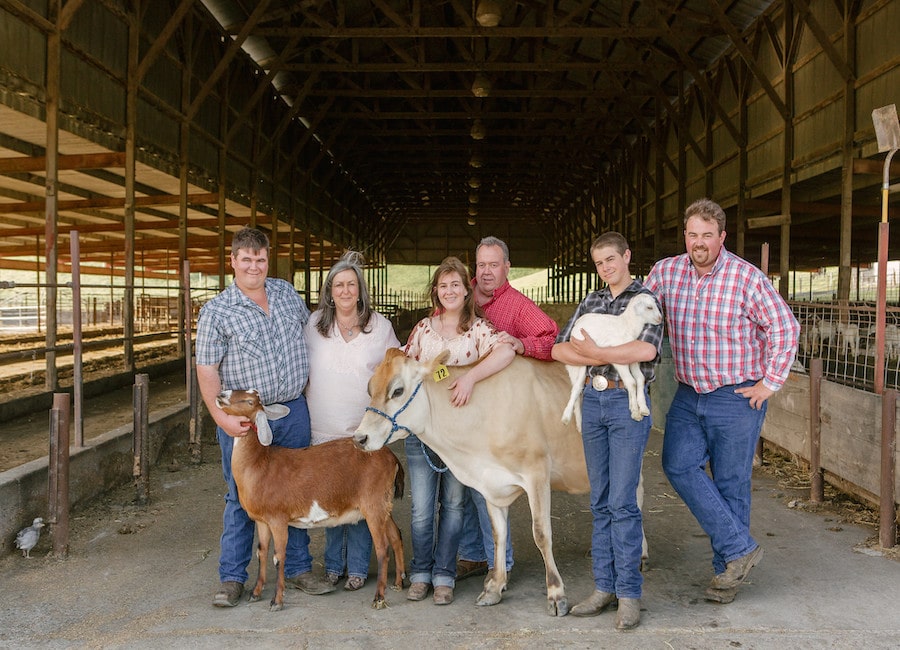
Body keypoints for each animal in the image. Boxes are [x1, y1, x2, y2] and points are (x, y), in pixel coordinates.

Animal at [214, 390, 404, 608]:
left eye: (250, 401)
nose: (221, 394)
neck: (259, 465)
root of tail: (392, 458)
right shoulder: (261, 520)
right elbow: (261, 552)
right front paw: (255, 593)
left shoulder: (278, 518)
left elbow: (278, 556)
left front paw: (276, 601)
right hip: (383, 503)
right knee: (395, 535)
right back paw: (398, 582)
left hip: (373, 503)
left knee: (382, 548)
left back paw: (379, 598)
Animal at [356, 344, 644, 612]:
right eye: (369, 388)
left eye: (397, 391)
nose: (360, 438)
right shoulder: (490, 483)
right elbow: (498, 534)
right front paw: (494, 587)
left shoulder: (537, 472)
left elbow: (542, 533)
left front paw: (556, 594)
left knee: (635, 497)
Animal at [564, 292, 660, 426]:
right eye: (649, 307)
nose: (660, 319)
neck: (627, 325)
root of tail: (577, 323)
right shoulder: (618, 359)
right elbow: (631, 382)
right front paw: (635, 412)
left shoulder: (633, 359)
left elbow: (640, 379)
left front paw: (643, 408)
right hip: (577, 361)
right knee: (576, 388)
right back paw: (567, 417)